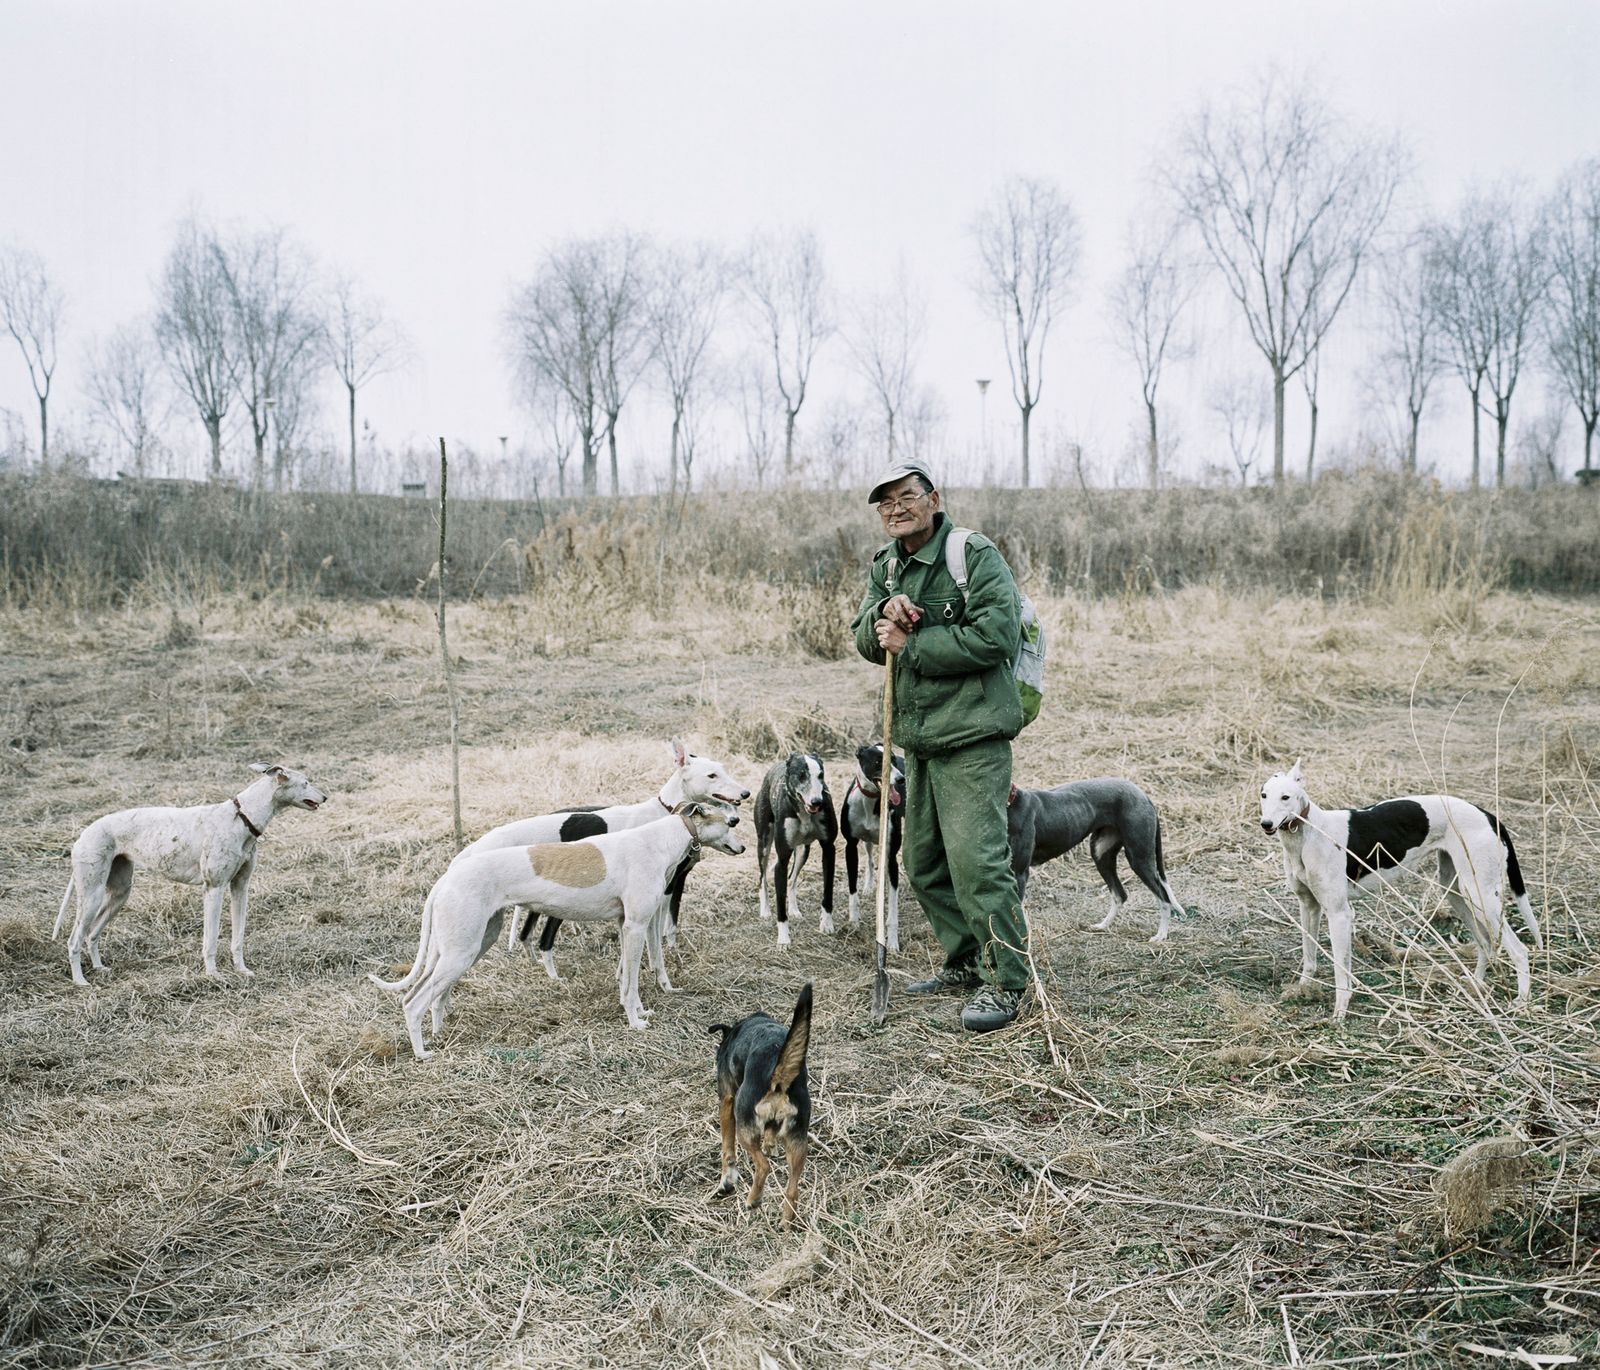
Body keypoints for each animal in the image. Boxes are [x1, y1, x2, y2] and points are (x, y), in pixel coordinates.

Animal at [713, 985, 812, 1229]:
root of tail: (778, 1072)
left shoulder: (727, 1101)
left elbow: (727, 1149)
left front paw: (726, 1181)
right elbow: (770, 1134)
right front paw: (770, 1145)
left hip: (745, 1127)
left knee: (763, 1166)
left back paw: (753, 1199)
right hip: (798, 1141)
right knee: (793, 1189)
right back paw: (786, 1222)